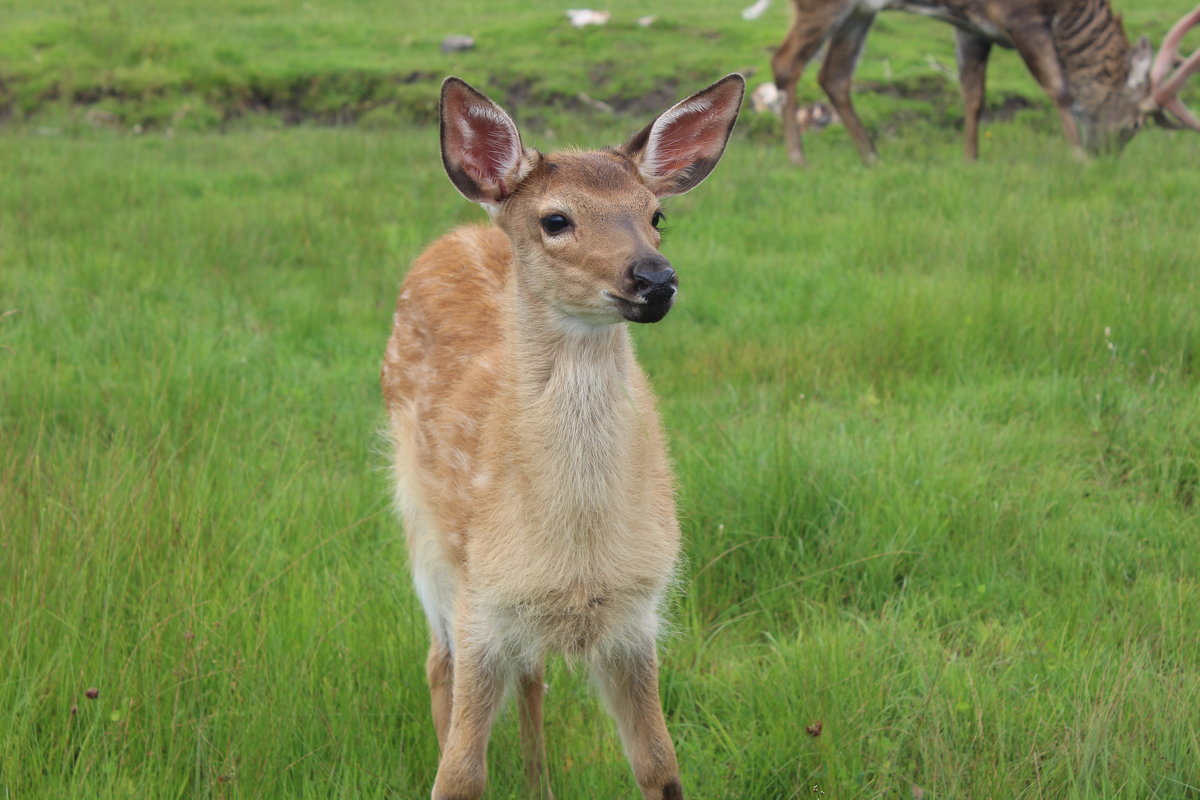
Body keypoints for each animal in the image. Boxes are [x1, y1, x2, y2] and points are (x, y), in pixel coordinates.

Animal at [379, 71, 744, 796]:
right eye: (555, 220)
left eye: (656, 215)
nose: (655, 278)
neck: (577, 551)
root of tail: (459, 232)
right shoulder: (482, 599)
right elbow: (459, 774)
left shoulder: (637, 612)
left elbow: (660, 765)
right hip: (423, 530)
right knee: (438, 661)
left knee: (534, 674)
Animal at [768, 0, 1200, 164]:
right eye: (1135, 125)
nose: (1105, 158)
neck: (1067, 13)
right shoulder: (1020, 17)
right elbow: (1057, 88)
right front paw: (1077, 156)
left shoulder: (972, 27)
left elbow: (974, 94)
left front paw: (971, 159)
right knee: (785, 64)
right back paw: (797, 157)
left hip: (861, 10)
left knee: (834, 75)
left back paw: (873, 157)